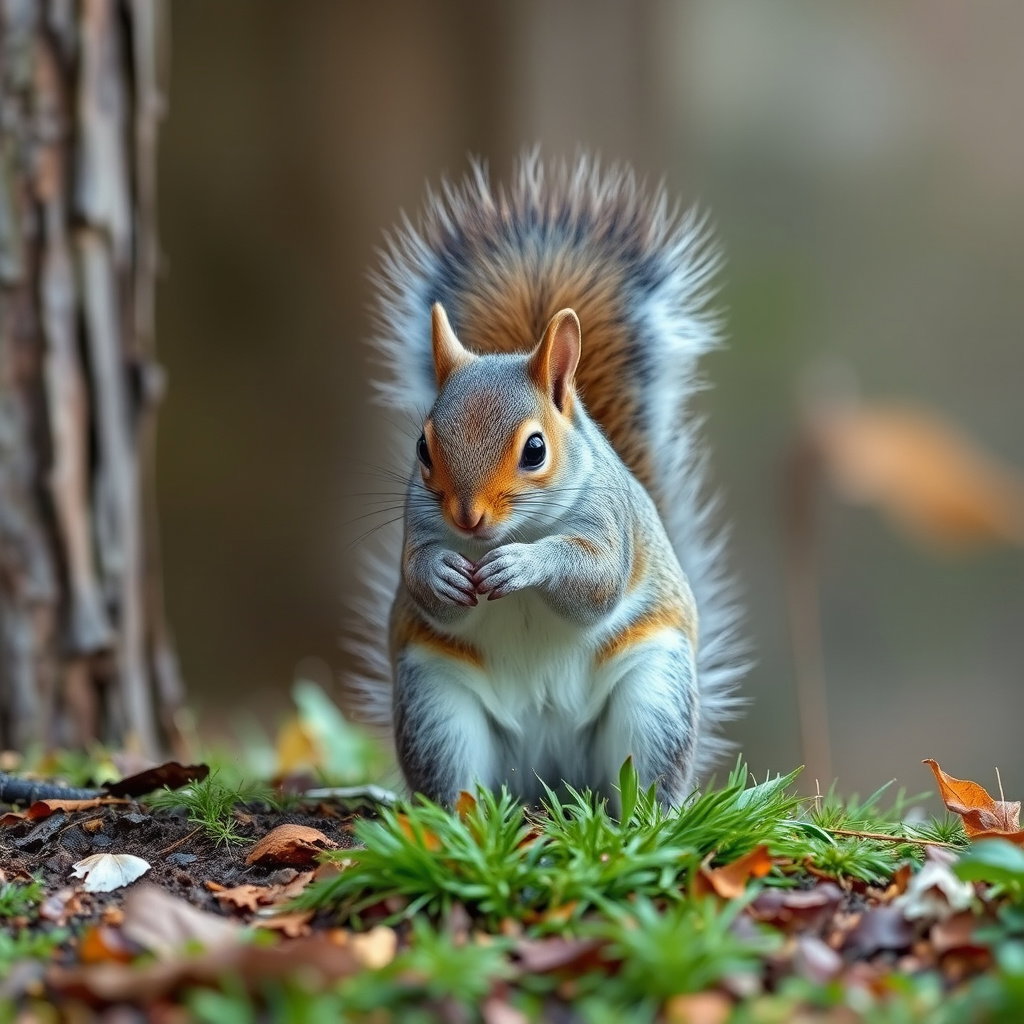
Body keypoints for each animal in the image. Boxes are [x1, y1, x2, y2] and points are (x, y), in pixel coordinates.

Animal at [344, 153, 745, 810]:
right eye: (423, 448)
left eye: (536, 450)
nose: (468, 517)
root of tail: (549, 775)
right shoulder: (417, 523)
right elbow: (421, 580)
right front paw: (443, 571)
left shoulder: (610, 525)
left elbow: (596, 582)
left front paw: (526, 564)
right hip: (436, 707)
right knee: (457, 781)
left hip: (654, 697)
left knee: (644, 780)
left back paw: (642, 818)